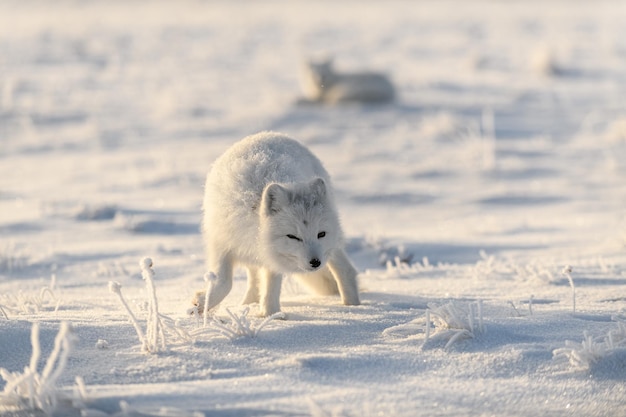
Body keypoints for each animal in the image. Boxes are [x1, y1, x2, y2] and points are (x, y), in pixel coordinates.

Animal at [195, 130, 360, 316]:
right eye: (293, 236)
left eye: (321, 234)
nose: (315, 262)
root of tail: (271, 133)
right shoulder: (222, 243)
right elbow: (224, 282)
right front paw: (201, 304)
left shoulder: (272, 257)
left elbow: (270, 284)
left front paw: (270, 314)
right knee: (254, 279)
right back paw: (248, 304)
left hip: (332, 247)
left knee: (346, 271)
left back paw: (352, 307)